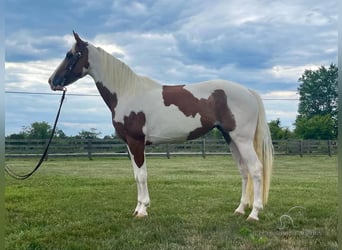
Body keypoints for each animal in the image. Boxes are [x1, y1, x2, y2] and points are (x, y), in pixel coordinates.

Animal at [48, 31, 272, 221]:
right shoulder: (129, 145)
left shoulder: (136, 142)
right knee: (244, 171)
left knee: (255, 169)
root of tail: (248, 91)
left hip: (242, 139)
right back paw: (240, 209)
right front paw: (138, 208)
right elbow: (136, 176)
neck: (127, 92)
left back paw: (254, 213)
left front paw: (143, 210)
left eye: (70, 55)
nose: (52, 81)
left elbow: (142, 175)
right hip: (230, 138)